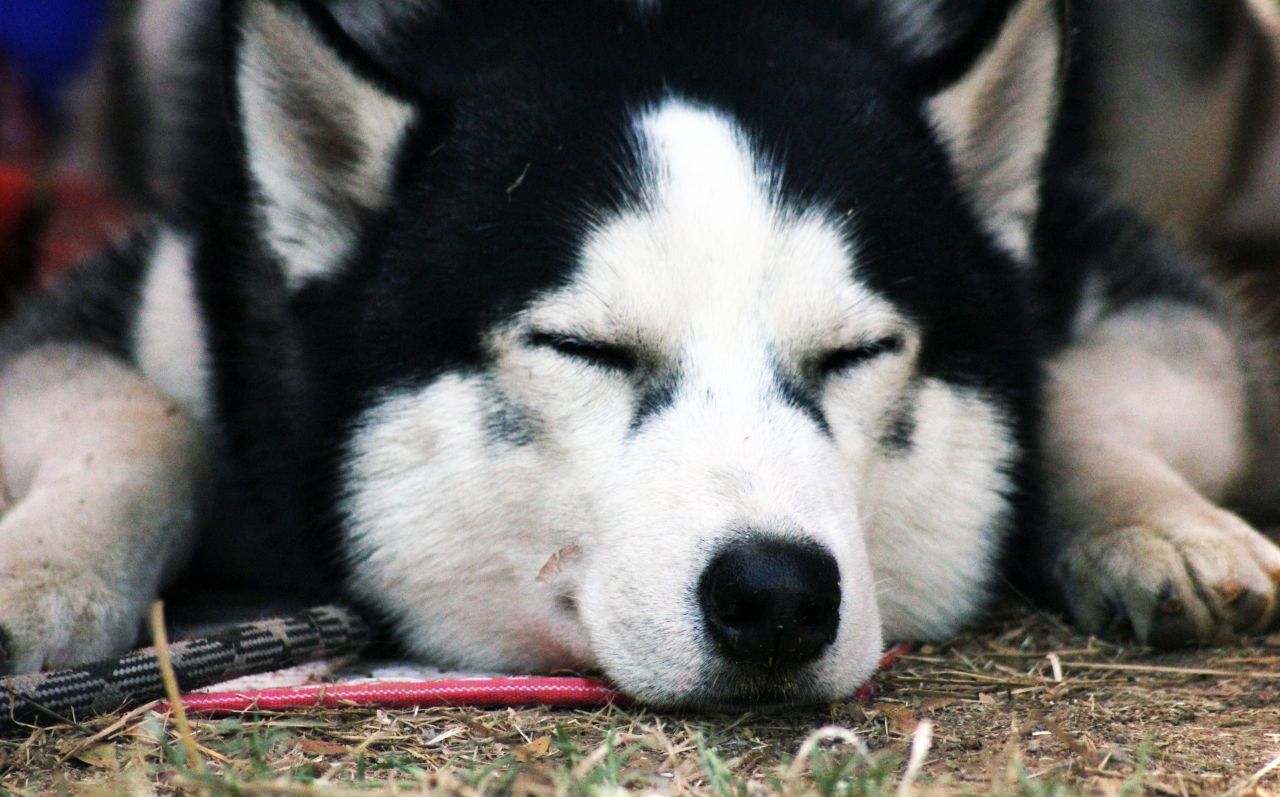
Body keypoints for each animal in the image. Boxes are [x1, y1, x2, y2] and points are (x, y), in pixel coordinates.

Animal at [7, 0, 1280, 711]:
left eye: (854, 351)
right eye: (586, 347)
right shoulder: (172, 290)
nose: (775, 593)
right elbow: (150, 419)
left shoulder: (1100, 261)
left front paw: (1159, 527)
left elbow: (1078, 388)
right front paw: (36, 574)